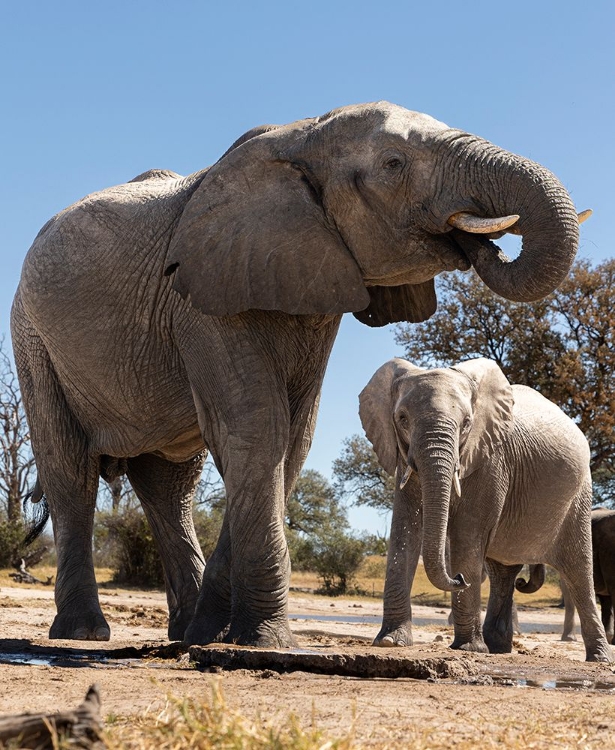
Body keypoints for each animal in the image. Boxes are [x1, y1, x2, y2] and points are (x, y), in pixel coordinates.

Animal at [13, 101, 592, 648]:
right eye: (394, 164)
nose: (481, 241)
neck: (302, 135)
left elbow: (291, 438)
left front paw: (218, 635)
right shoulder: (201, 297)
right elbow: (257, 428)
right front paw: (263, 640)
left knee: (169, 487)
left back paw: (183, 632)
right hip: (33, 337)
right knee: (70, 471)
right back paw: (85, 633)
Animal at [360, 356, 612, 660]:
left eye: (467, 423)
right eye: (402, 419)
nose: (458, 578)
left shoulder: (491, 460)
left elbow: (467, 537)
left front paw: (468, 648)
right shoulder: (402, 455)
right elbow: (404, 532)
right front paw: (391, 642)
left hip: (579, 496)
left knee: (578, 573)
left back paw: (598, 658)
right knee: (503, 572)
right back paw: (498, 649)